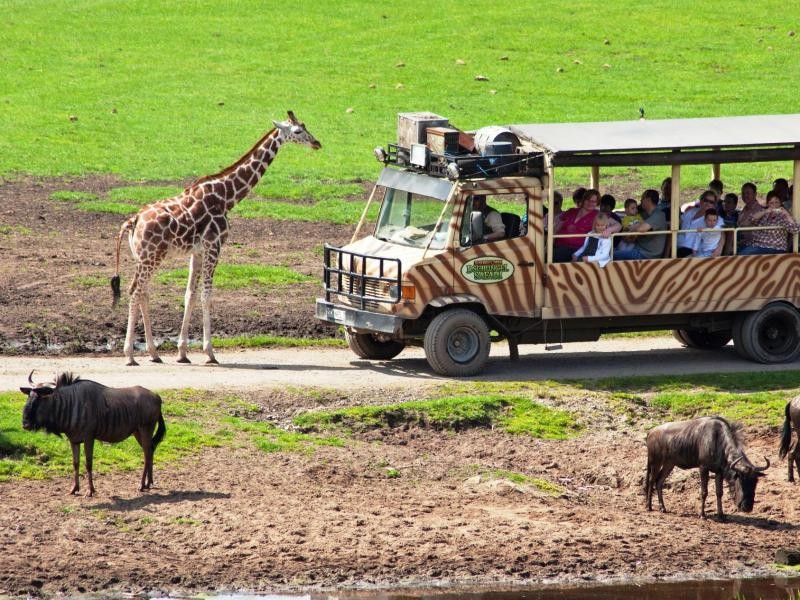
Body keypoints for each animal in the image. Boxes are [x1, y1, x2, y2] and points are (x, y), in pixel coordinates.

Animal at [110, 111, 322, 366]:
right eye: (298, 131)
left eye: (306, 127)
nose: (317, 143)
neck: (227, 196)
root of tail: (134, 220)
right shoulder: (215, 245)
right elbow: (206, 296)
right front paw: (210, 352)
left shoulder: (197, 251)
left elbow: (190, 294)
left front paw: (182, 352)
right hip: (151, 257)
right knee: (134, 291)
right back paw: (130, 355)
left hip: (144, 257)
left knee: (143, 292)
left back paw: (154, 353)